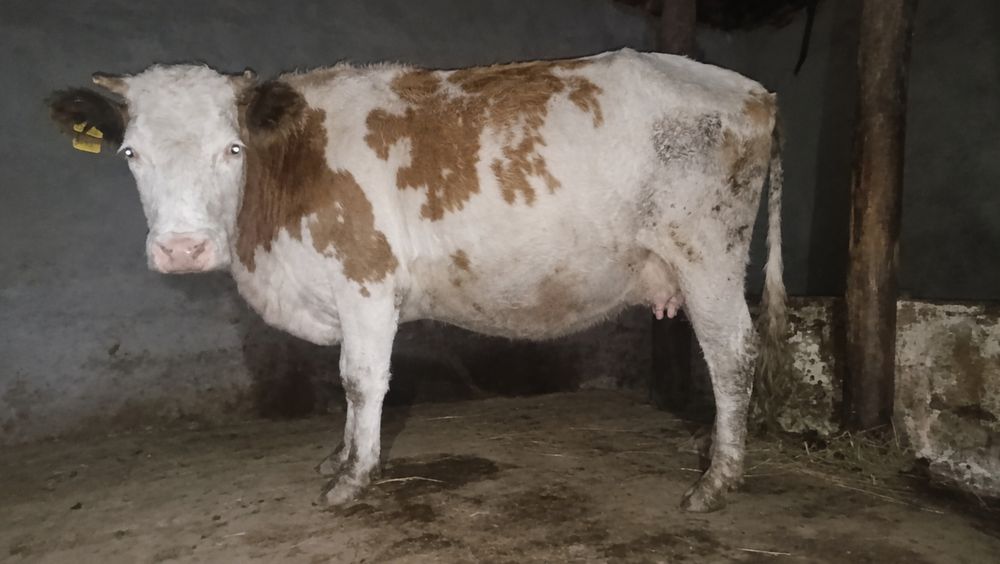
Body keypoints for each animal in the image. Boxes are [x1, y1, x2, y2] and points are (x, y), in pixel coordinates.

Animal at [48, 48, 786, 512]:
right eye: (130, 152)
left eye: (230, 149)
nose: (182, 249)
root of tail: (752, 89)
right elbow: (346, 385)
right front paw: (340, 456)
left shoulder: (366, 280)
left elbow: (360, 380)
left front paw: (354, 479)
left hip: (708, 254)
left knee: (732, 355)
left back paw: (717, 482)